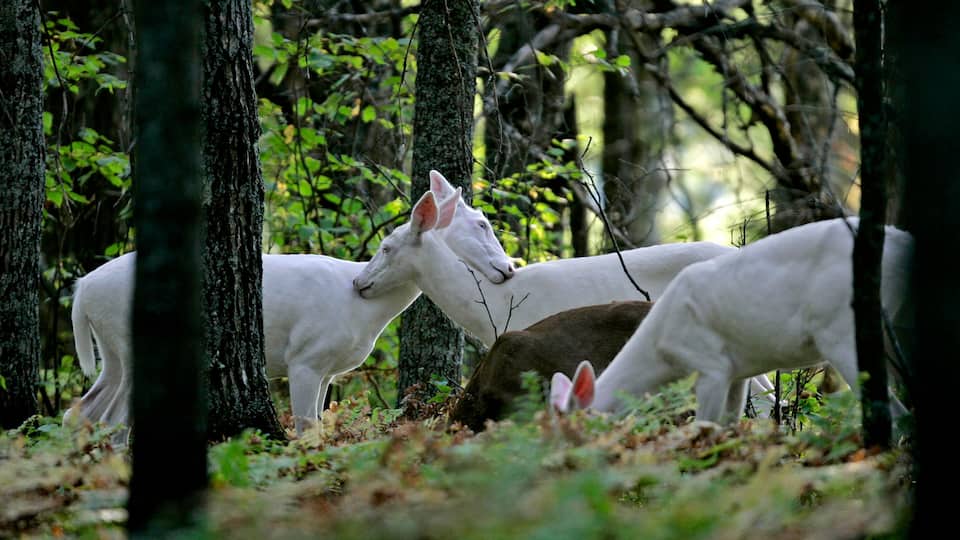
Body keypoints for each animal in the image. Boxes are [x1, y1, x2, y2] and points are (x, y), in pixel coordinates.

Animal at [65, 184, 514, 435]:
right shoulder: (305, 357)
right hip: (130, 341)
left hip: (112, 351)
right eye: (481, 225)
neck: (361, 314)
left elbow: (317, 425)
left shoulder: (327, 370)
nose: (507, 268)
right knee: (113, 420)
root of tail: (83, 290)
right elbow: (305, 425)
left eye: (386, 247)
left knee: (83, 411)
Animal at [551, 217, 914, 427]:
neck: (661, 350)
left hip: (842, 330)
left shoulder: (710, 365)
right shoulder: (738, 372)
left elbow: (705, 428)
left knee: (896, 412)